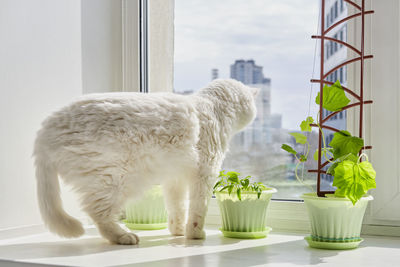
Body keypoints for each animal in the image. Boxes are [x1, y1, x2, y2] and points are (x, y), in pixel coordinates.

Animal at [33, 79, 260, 245]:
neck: (212, 108)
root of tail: (46, 128)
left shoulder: (174, 178)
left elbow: (177, 207)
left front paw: (177, 231)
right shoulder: (205, 174)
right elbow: (198, 208)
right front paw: (195, 234)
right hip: (113, 180)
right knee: (98, 213)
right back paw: (123, 236)